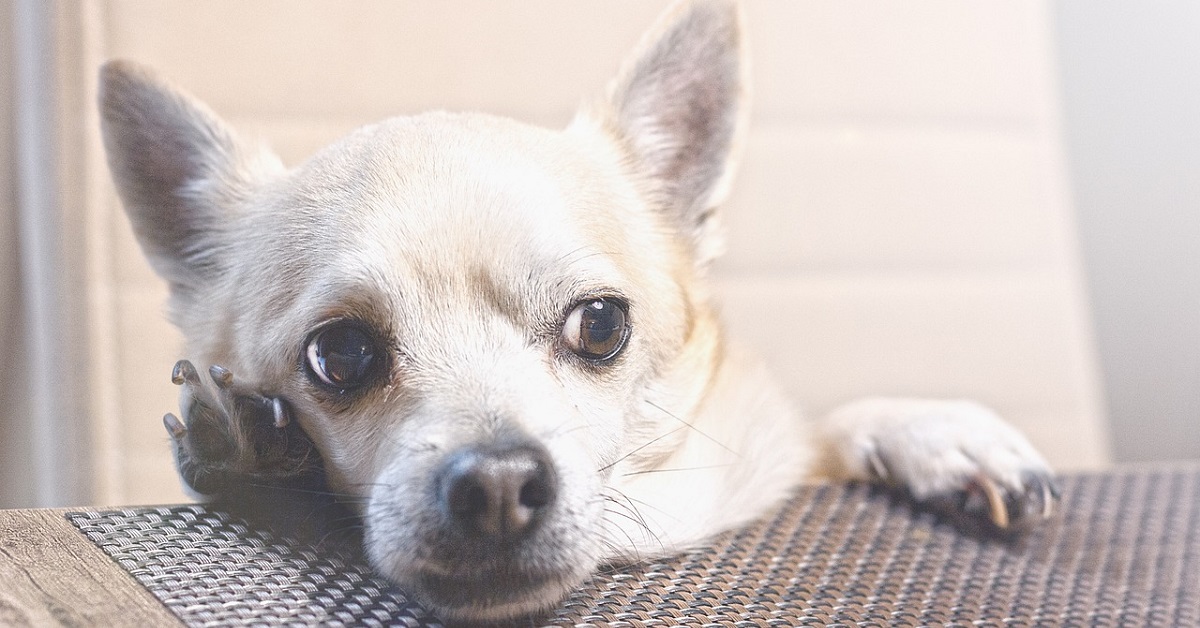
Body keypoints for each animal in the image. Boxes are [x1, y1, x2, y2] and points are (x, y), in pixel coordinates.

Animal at [103, 0, 1060, 619]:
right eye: (337, 356)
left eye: (600, 326)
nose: (495, 482)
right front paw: (246, 444)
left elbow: (829, 425)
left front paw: (944, 436)